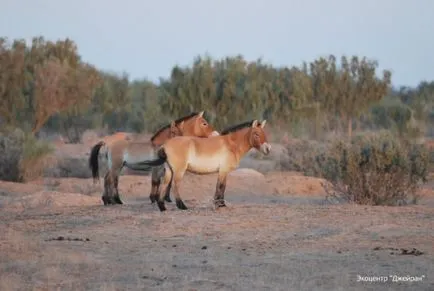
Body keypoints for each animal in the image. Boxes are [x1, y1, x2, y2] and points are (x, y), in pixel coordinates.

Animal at [88, 111, 219, 205]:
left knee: (107, 179)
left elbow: (163, 182)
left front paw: (163, 199)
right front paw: (155, 199)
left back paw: (108, 200)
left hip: (112, 166)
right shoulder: (157, 168)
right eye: (204, 123)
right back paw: (116, 200)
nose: (216, 135)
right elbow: (156, 182)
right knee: (112, 180)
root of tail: (106, 141)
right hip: (116, 166)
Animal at [124, 120, 270, 212]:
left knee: (165, 185)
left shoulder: (223, 172)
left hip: (169, 171)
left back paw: (163, 208)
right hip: (179, 171)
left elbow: (220, 187)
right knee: (175, 186)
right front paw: (220, 205)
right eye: (256, 134)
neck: (231, 144)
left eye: (265, 134)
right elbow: (221, 187)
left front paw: (219, 204)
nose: (268, 149)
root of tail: (165, 145)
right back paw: (182, 206)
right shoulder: (223, 171)